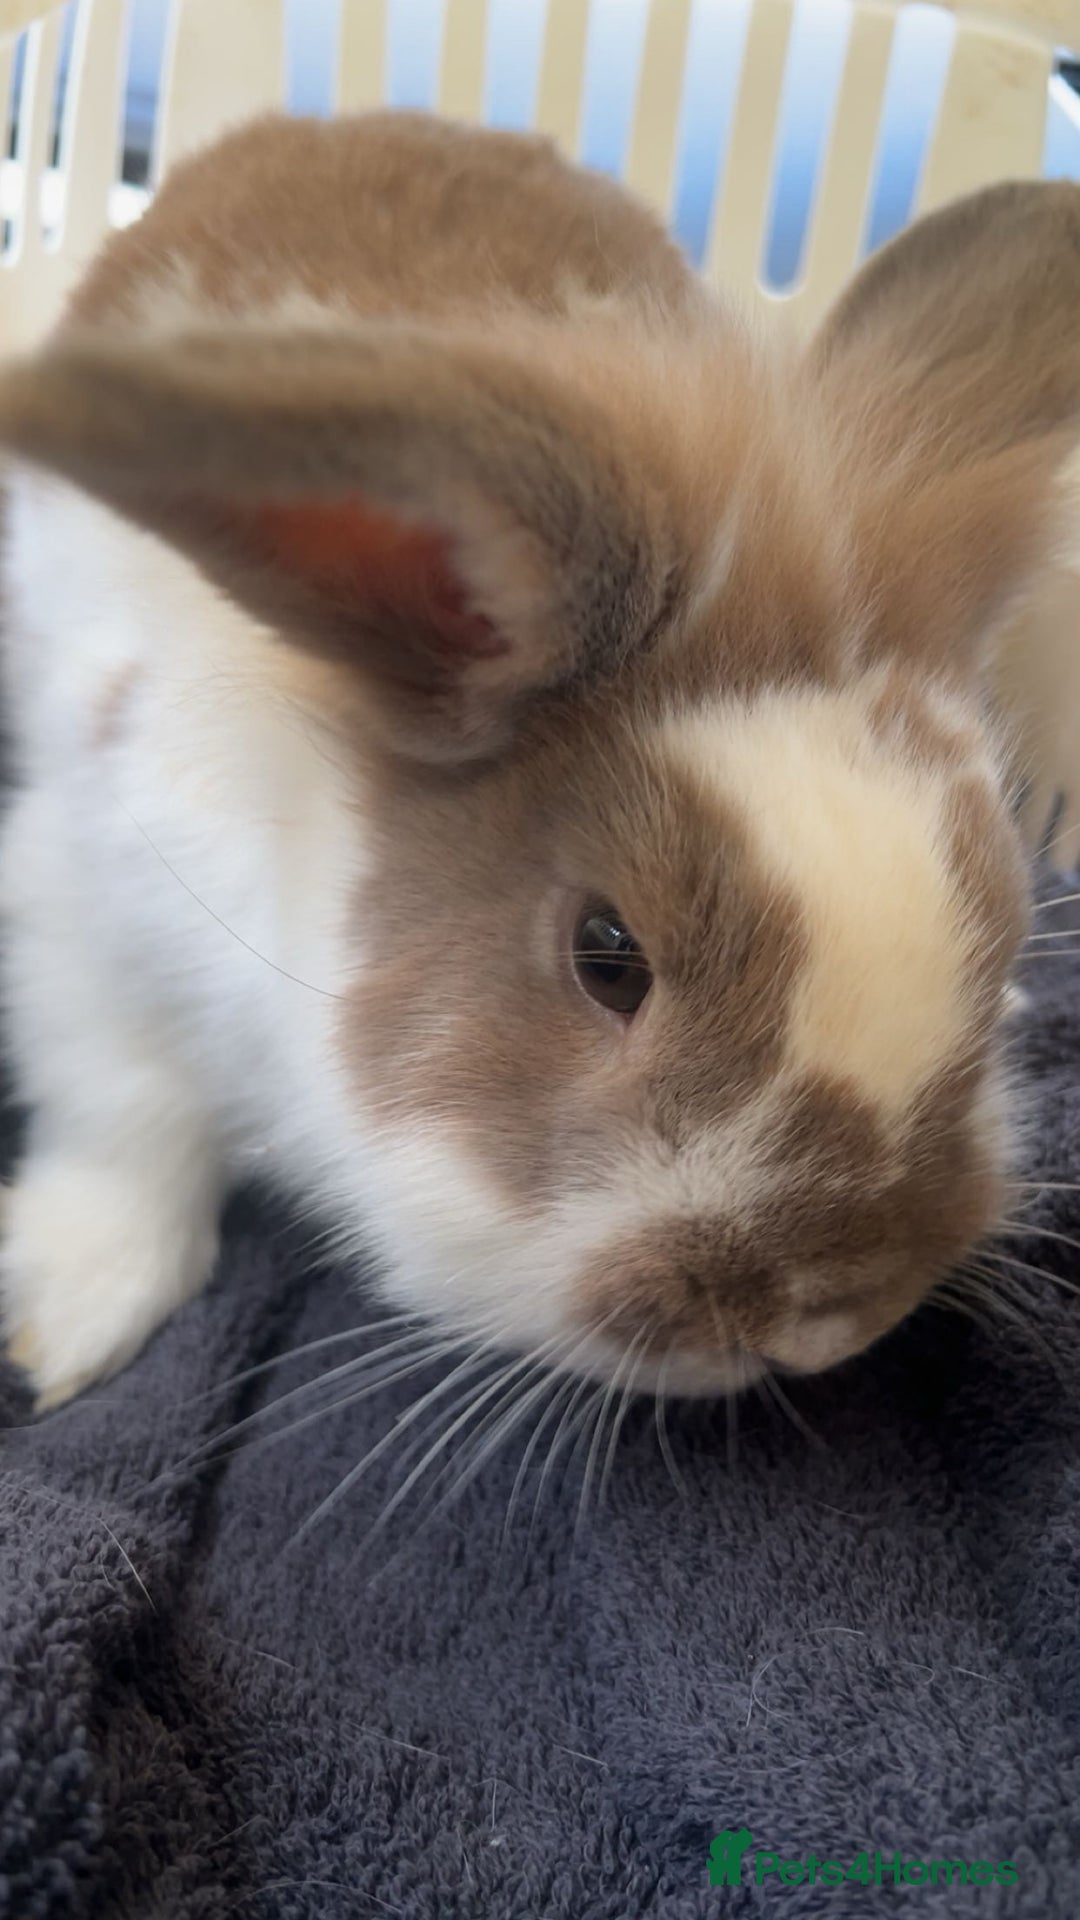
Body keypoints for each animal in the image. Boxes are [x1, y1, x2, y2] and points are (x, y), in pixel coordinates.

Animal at [0, 109, 1077, 1414]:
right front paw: (69, 1319)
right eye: (606, 956)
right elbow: (124, 1110)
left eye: (1007, 937)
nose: (828, 1316)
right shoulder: (82, 909)